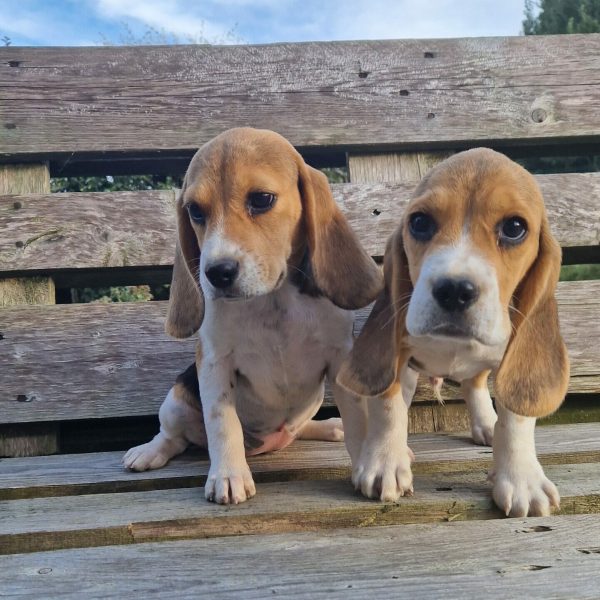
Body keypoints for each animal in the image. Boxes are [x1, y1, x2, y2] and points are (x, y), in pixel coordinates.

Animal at [123, 127, 382, 506]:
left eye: (261, 199)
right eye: (195, 211)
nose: (217, 272)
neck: (272, 300)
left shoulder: (339, 359)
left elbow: (359, 422)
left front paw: (370, 464)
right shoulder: (214, 363)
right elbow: (222, 423)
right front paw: (228, 476)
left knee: (296, 429)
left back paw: (327, 426)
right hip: (175, 401)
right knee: (174, 437)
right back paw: (149, 452)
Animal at [338, 149, 568, 516]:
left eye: (515, 228)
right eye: (419, 222)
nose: (454, 290)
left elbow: (516, 418)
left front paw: (522, 479)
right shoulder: (396, 353)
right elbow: (388, 406)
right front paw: (384, 461)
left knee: (475, 385)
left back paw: (487, 423)